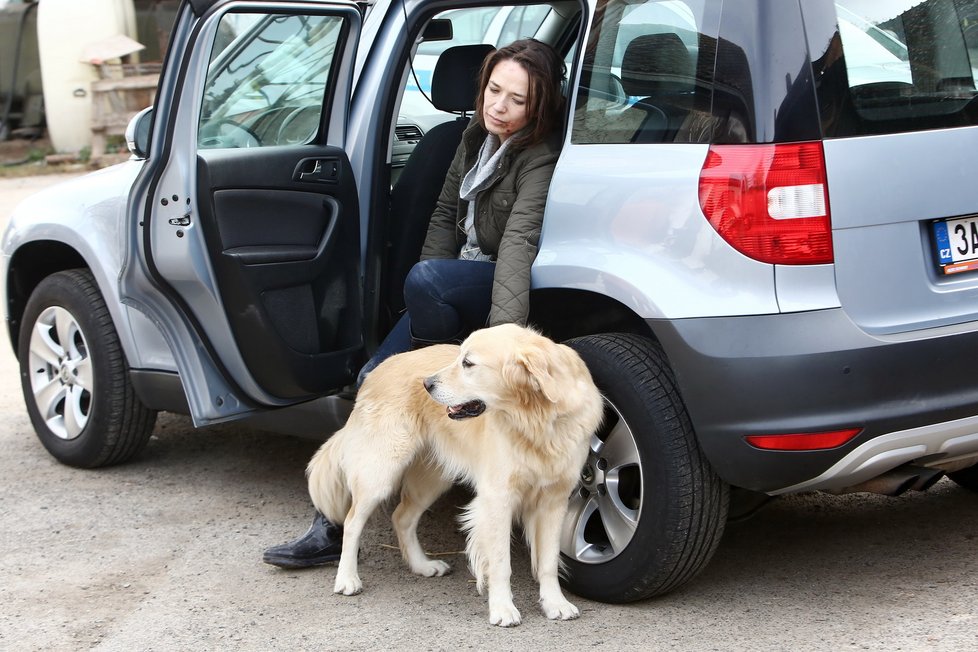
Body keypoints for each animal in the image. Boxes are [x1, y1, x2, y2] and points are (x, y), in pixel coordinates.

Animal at [306, 324, 604, 624]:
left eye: (468, 363)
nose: (426, 384)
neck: (537, 421)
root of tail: (374, 371)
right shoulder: (497, 498)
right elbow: (500, 563)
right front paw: (502, 608)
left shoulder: (554, 501)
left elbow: (548, 562)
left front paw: (555, 603)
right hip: (380, 473)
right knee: (352, 522)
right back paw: (347, 579)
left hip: (432, 480)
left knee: (401, 517)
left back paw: (422, 565)